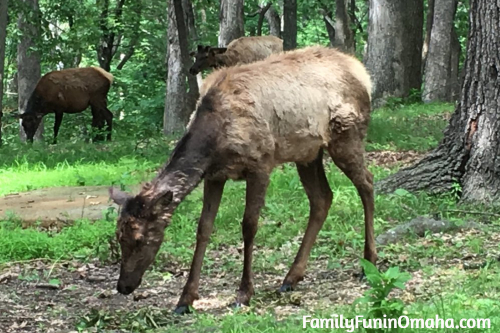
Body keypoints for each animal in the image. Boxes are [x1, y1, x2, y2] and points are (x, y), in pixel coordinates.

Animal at [109, 44, 376, 314]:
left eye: (140, 239)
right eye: (119, 236)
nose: (123, 286)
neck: (215, 139)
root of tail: (363, 74)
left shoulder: (261, 164)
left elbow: (249, 226)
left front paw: (244, 293)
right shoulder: (214, 176)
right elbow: (203, 228)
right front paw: (185, 299)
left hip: (346, 135)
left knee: (367, 183)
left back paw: (369, 261)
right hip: (308, 153)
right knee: (322, 198)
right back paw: (291, 277)